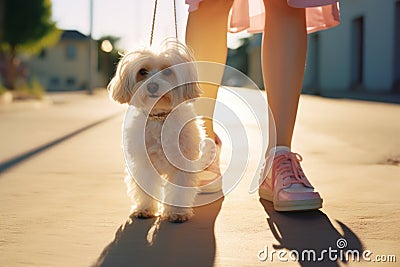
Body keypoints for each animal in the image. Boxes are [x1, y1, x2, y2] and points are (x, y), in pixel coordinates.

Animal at [106, 40, 212, 224]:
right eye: (142, 71)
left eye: (168, 71)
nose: (152, 85)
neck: (159, 118)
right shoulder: (144, 164)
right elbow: (146, 186)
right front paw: (144, 209)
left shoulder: (182, 165)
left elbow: (179, 190)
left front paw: (177, 212)